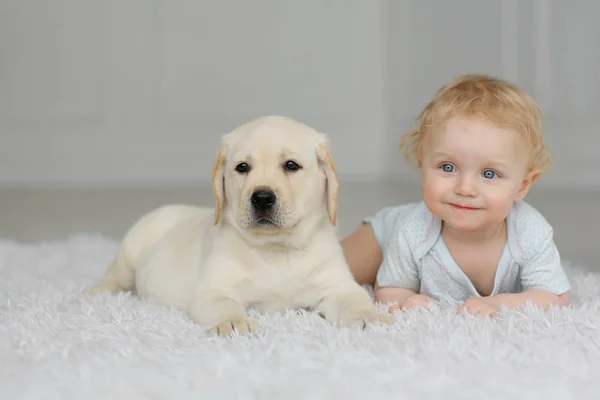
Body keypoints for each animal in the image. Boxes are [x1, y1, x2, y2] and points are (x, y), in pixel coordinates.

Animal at [85, 116, 394, 338]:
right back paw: (97, 292)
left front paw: (370, 316)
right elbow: (226, 305)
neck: (277, 249)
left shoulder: (337, 285)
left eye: (291, 165)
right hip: (131, 249)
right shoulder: (213, 290)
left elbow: (355, 300)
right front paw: (233, 324)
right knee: (115, 277)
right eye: (242, 167)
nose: (262, 197)